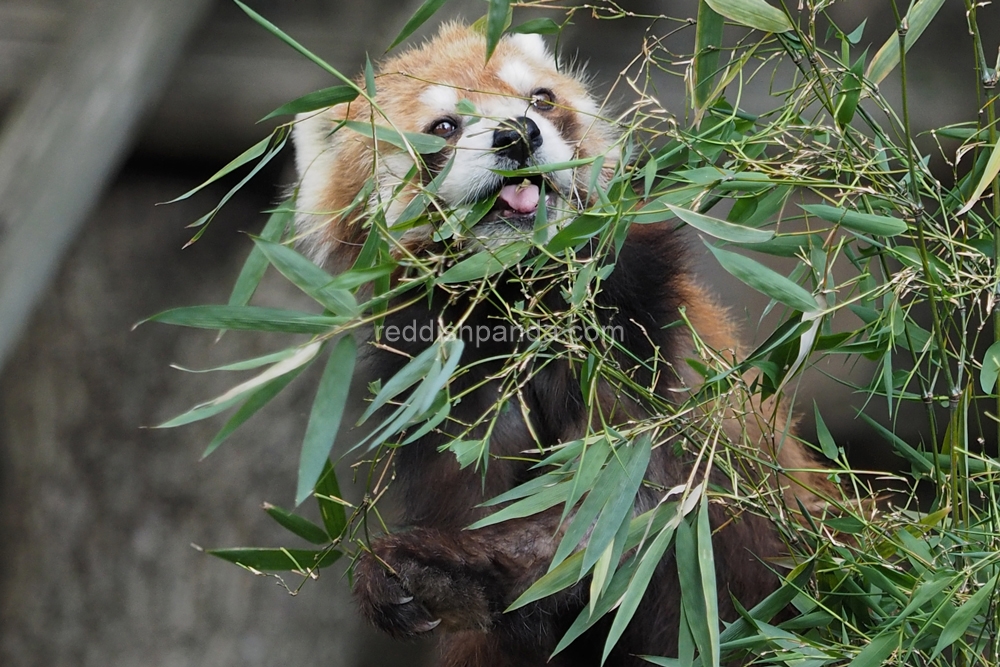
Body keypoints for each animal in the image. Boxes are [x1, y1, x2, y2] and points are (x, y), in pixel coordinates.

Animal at [292, 22, 832, 667]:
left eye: (541, 99)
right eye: (444, 126)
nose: (517, 134)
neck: (522, 302)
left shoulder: (635, 338)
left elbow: (613, 505)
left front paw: (433, 567)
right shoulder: (450, 391)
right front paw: (436, 581)